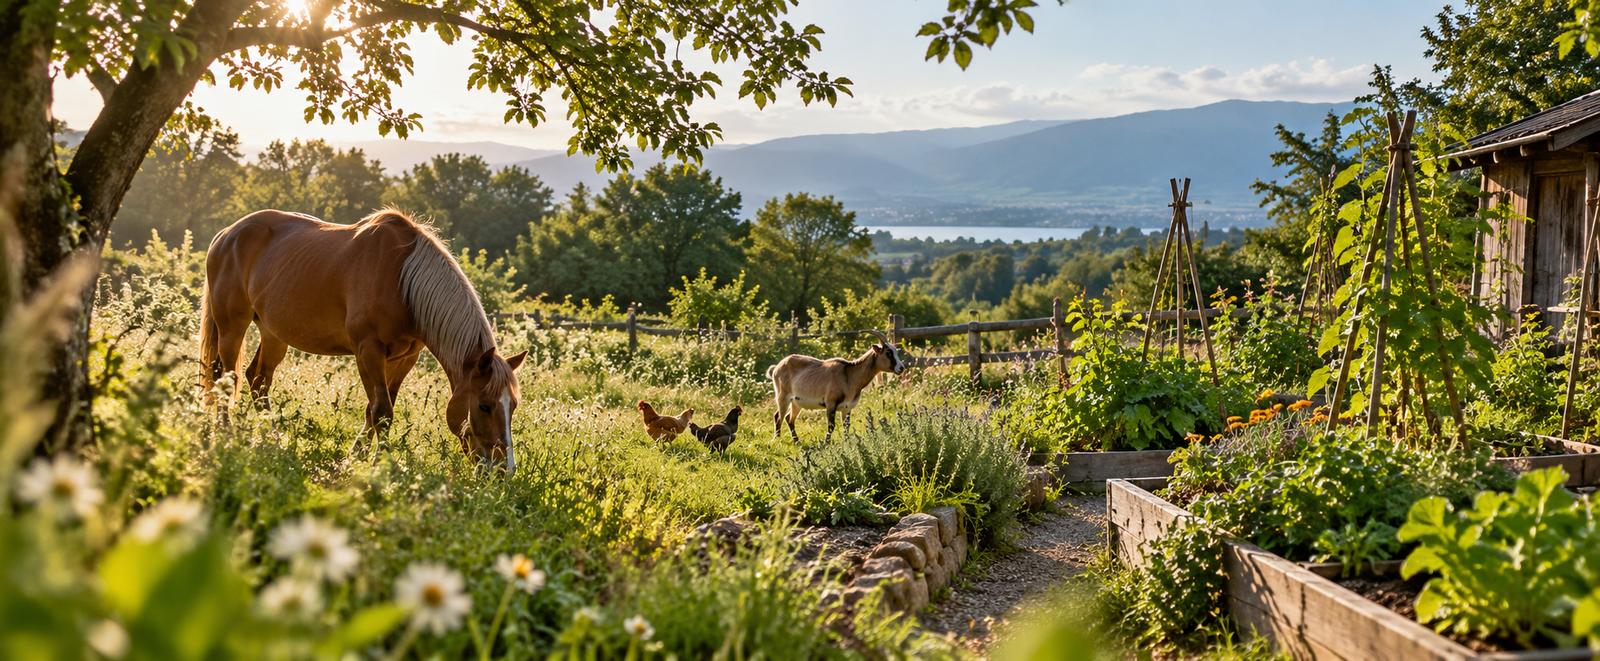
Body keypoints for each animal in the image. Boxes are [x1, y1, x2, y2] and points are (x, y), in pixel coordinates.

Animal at [198, 208, 528, 472]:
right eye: (484, 406)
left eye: (512, 406)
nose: (503, 470)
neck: (402, 281)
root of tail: (225, 235)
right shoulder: (368, 351)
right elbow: (382, 412)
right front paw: (379, 465)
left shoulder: (404, 358)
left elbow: (376, 409)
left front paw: (353, 457)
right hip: (232, 327)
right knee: (227, 379)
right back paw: (225, 436)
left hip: (273, 334)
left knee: (258, 381)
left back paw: (274, 441)